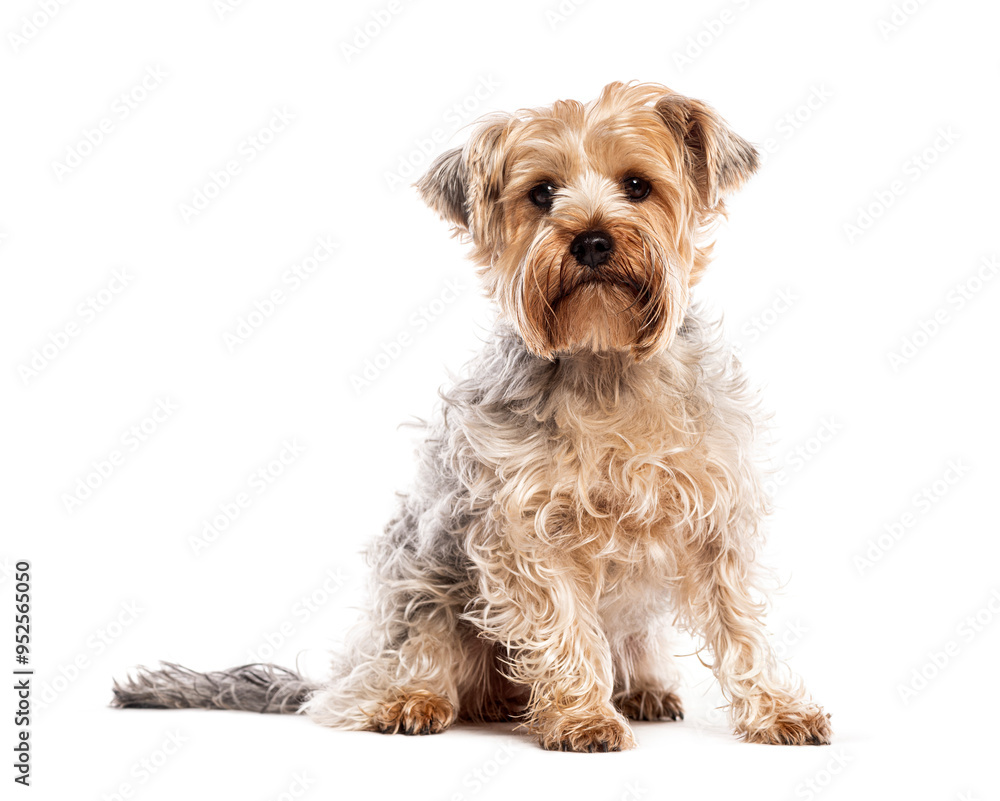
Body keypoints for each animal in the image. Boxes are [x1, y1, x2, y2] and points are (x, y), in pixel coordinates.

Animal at [113, 82, 831, 752]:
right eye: (541, 193)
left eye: (637, 185)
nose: (592, 240)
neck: (602, 360)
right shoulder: (525, 531)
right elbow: (563, 626)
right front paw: (583, 717)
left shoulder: (716, 517)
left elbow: (740, 625)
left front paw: (776, 709)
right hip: (420, 586)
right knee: (396, 664)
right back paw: (411, 699)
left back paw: (644, 686)